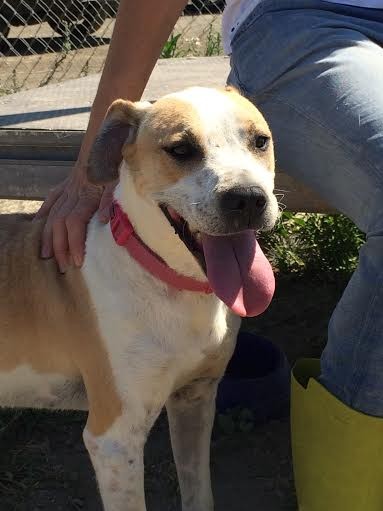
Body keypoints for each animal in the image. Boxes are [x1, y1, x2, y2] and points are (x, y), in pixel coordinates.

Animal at [0, 86, 278, 510]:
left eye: (260, 141)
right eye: (180, 149)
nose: (247, 198)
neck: (174, 287)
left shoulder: (195, 398)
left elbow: (199, 491)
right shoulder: (114, 440)